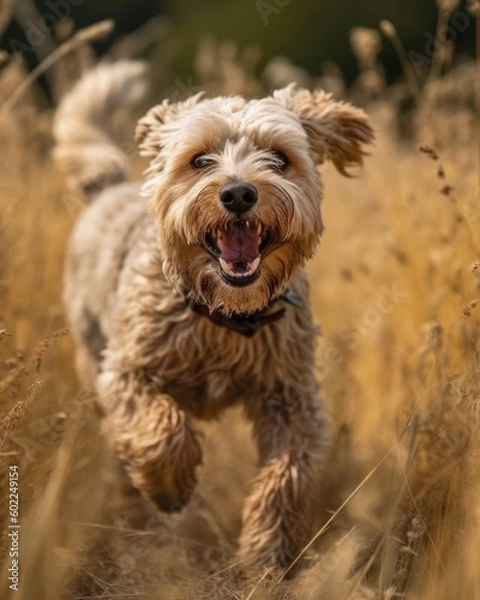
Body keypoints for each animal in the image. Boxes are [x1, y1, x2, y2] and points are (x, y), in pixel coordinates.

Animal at [53, 62, 376, 572]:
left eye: (279, 158)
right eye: (200, 160)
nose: (239, 192)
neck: (224, 316)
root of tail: (112, 186)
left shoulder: (292, 396)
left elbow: (287, 474)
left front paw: (265, 555)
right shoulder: (125, 373)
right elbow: (163, 424)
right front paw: (169, 484)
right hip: (91, 353)